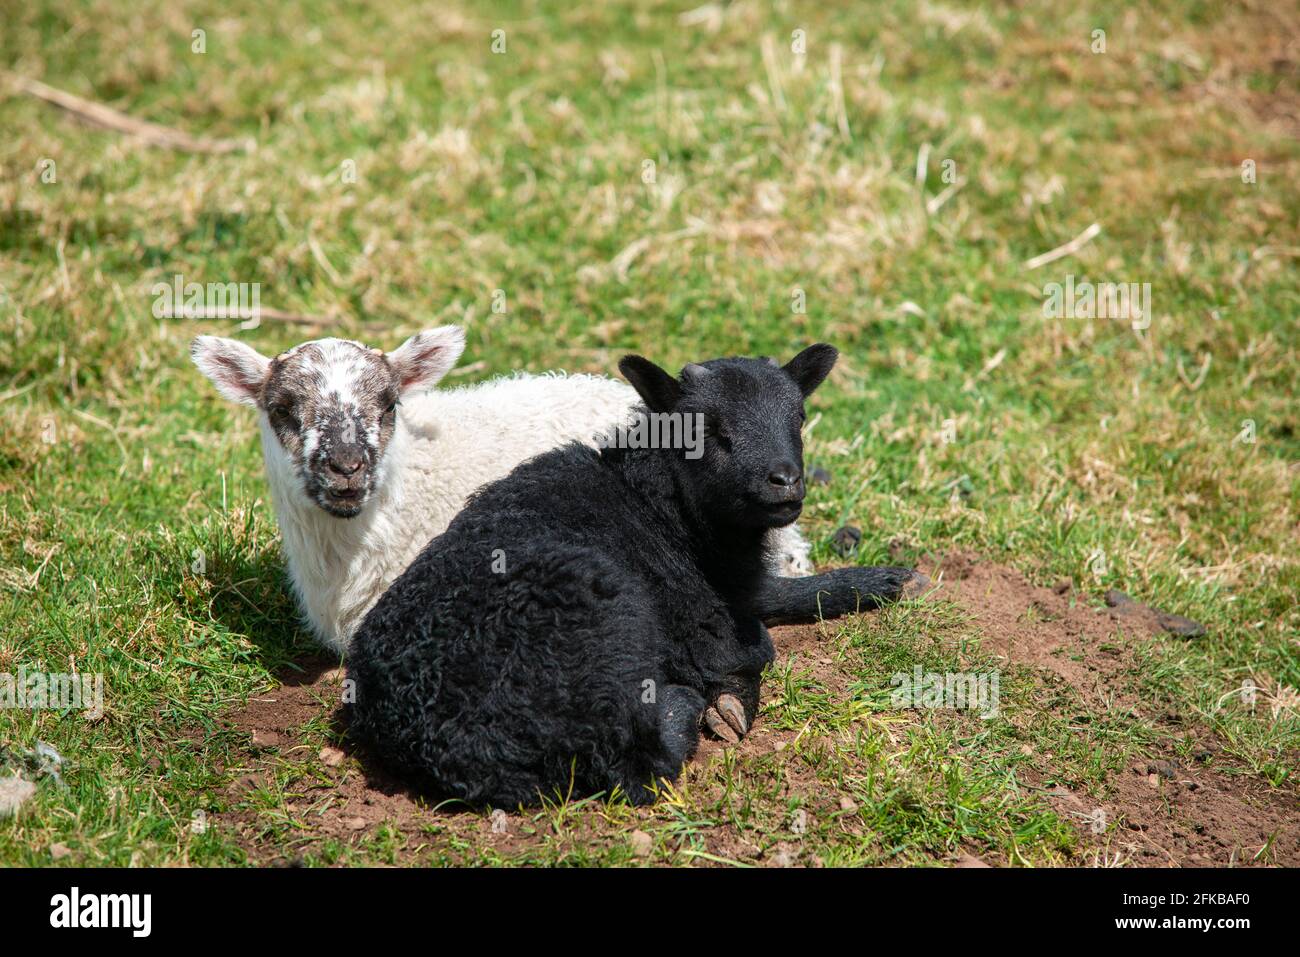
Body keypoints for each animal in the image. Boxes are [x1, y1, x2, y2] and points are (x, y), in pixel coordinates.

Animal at [346, 344, 927, 806]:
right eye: (705, 429)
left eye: (799, 416)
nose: (784, 481)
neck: (657, 505)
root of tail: (458, 747)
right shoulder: (707, 620)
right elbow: (755, 643)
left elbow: (774, 596)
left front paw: (887, 580)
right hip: (611, 627)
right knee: (641, 767)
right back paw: (691, 705)